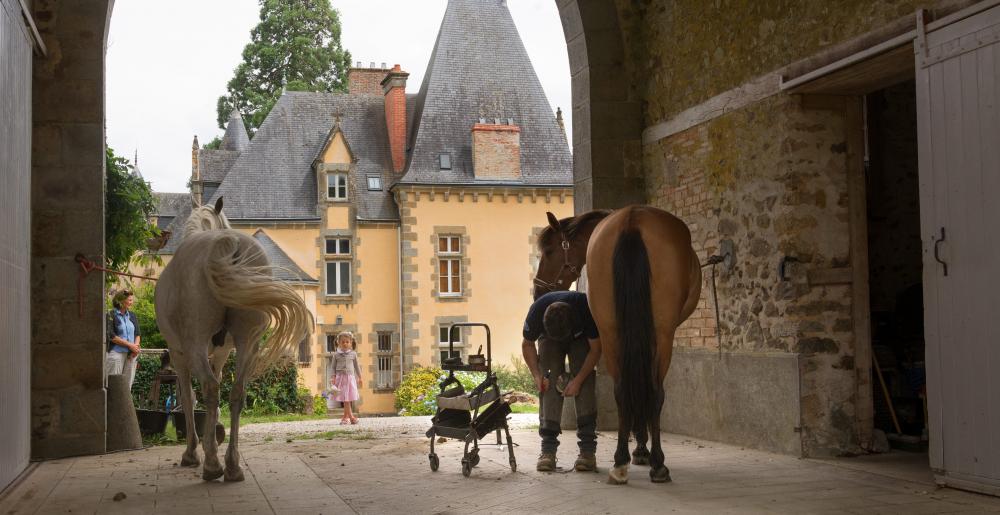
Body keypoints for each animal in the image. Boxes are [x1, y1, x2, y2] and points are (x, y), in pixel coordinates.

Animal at [155, 199, 312, 484]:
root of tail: (227, 243)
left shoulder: (179, 353)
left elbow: (189, 397)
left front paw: (193, 451)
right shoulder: (220, 353)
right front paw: (214, 436)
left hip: (195, 344)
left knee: (210, 388)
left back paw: (212, 465)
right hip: (247, 343)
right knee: (237, 392)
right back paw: (232, 465)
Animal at [536, 205, 700, 484]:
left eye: (548, 251)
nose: (538, 292)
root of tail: (631, 220)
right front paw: (643, 451)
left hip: (611, 332)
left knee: (623, 390)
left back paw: (620, 461)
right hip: (660, 334)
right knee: (654, 392)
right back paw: (656, 463)